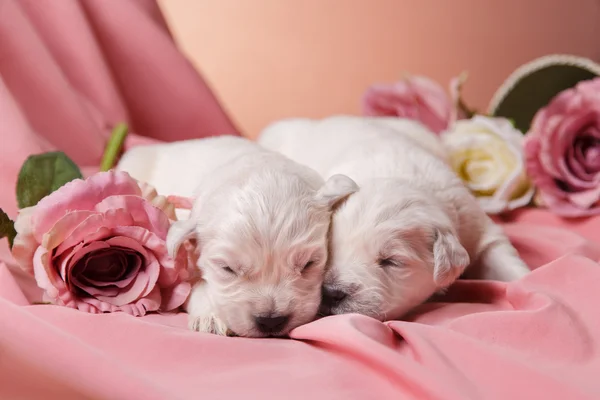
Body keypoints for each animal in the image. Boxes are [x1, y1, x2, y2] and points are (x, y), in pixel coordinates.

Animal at [255, 116, 528, 322]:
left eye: (391, 261)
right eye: (330, 249)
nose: (331, 293)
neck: (405, 178)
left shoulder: (473, 222)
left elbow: (501, 256)